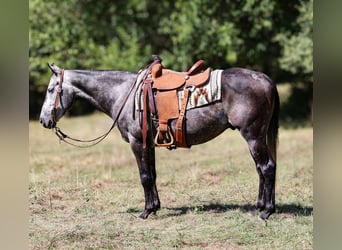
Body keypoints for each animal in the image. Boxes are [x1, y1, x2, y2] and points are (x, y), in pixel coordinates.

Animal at [40, 63, 280, 221]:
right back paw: (260, 207)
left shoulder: (137, 142)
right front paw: (155, 207)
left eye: (51, 90)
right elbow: (152, 175)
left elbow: (144, 177)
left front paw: (146, 211)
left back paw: (267, 211)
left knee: (267, 168)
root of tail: (264, 78)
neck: (123, 93)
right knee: (262, 169)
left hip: (253, 136)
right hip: (256, 137)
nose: (43, 120)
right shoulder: (149, 143)